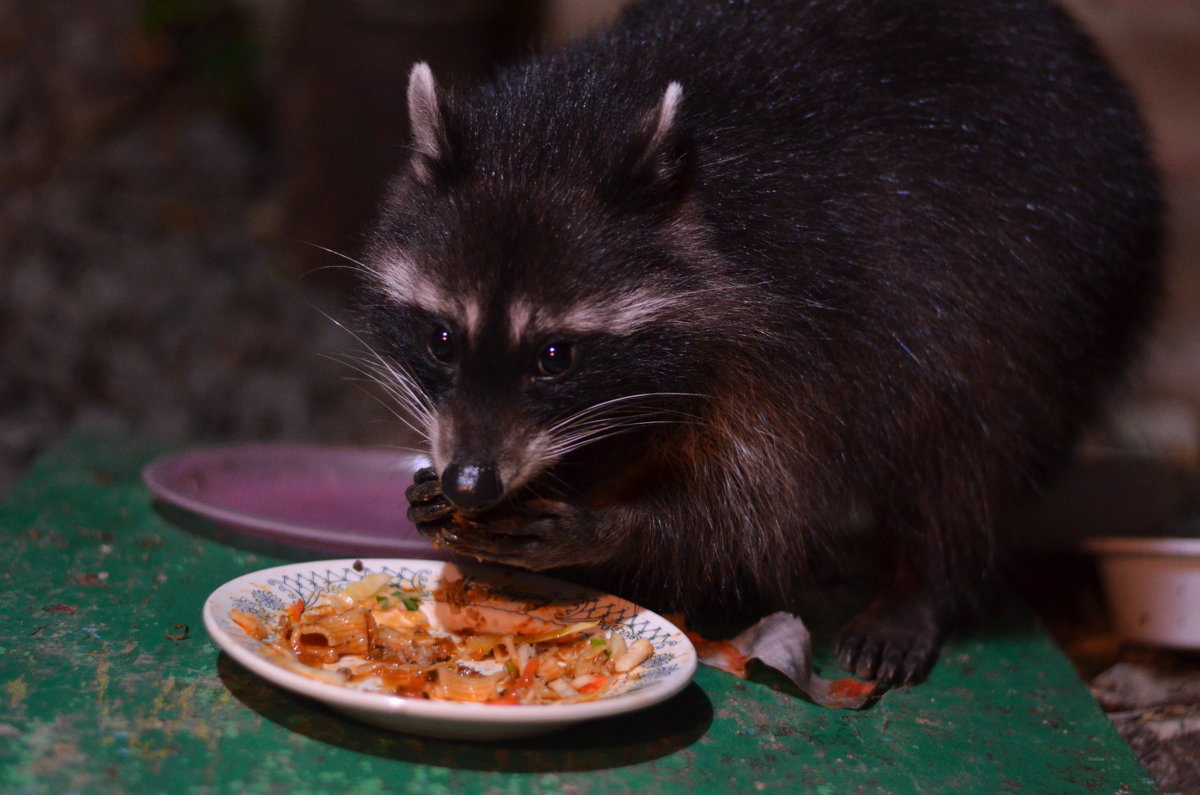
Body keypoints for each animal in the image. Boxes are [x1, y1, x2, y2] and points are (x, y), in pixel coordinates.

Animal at [357, 0, 1161, 686]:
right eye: (442, 339)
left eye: (555, 356)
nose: (470, 482)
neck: (575, 119)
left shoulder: (814, 315)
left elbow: (762, 506)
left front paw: (610, 526)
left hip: (1044, 293)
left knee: (969, 444)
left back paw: (919, 584)